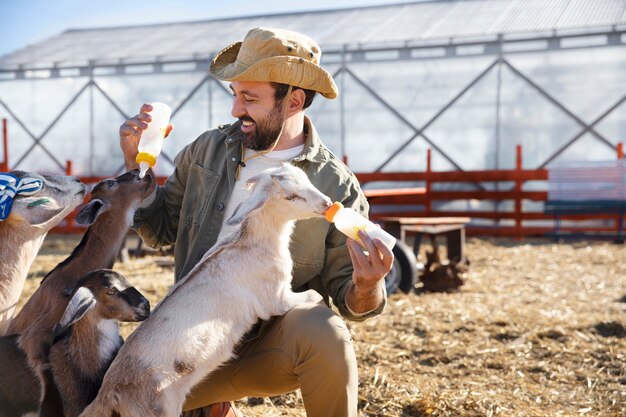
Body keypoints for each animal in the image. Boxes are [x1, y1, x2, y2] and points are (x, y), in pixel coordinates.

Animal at [81, 162, 332, 416]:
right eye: (291, 196)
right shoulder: (277, 299)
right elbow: (313, 295)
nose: (327, 203)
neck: (252, 243)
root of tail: (108, 392)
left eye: (306, 178)